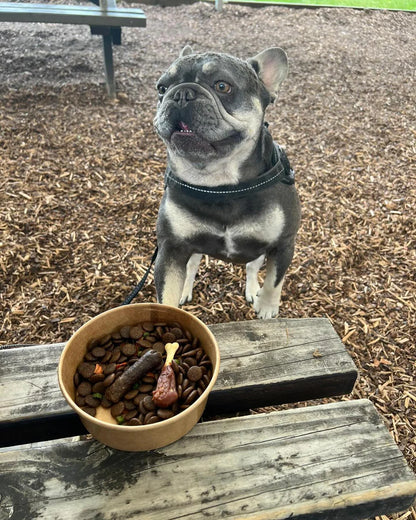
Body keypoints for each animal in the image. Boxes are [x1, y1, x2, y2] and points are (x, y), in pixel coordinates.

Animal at [153, 47, 300, 316]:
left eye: (222, 86)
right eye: (161, 88)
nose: (181, 93)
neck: (221, 186)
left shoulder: (284, 244)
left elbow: (275, 280)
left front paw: (267, 307)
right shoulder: (171, 248)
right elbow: (167, 293)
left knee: (252, 268)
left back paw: (253, 291)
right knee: (191, 267)